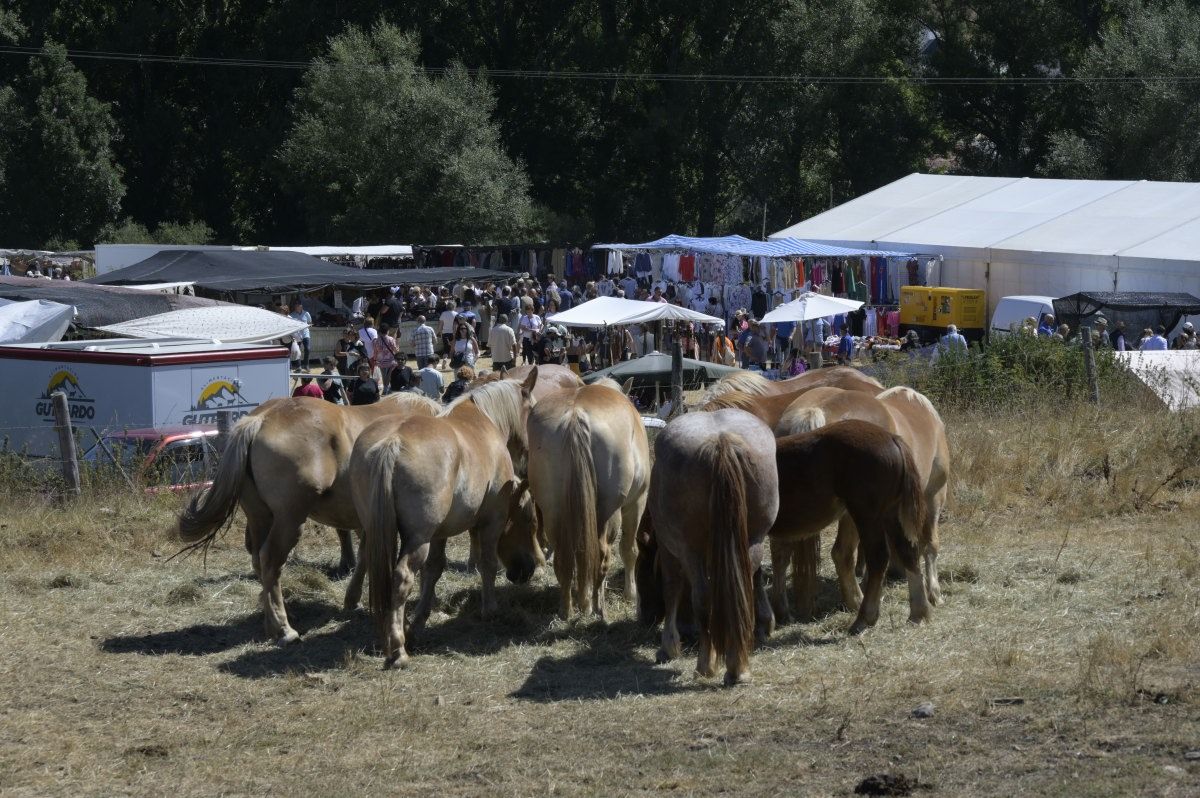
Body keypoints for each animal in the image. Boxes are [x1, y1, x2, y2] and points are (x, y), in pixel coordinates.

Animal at [177, 388, 441, 643]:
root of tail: (260, 419)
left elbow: (366, 555)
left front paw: (352, 598)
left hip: (259, 516)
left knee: (258, 560)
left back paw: (271, 622)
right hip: (289, 520)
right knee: (270, 560)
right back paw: (284, 629)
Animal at [355, 372, 544, 667]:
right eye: (529, 523)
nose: (526, 572)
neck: (484, 419)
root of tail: (391, 443)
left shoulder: (440, 533)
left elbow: (433, 570)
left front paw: (418, 621)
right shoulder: (492, 521)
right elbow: (487, 563)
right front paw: (490, 608)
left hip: (379, 533)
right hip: (417, 539)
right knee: (402, 577)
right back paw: (397, 649)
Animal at [530, 376, 652, 619]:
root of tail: (575, 415)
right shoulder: (637, 502)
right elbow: (629, 549)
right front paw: (631, 594)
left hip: (553, 510)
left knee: (564, 558)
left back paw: (567, 608)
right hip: (609, 512)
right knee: (603, 554)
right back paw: (597, 606)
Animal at [638, 410, 777, 686]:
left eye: (642, 575)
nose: (642, 618)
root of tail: (721, 440)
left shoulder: (670, 551)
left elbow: (672, 588)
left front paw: (668, 646)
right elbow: (755, 579)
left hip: (691, 551)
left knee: (701, 595)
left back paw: (705, 665)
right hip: (753, 540)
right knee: (744, 585)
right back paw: (738, 668)